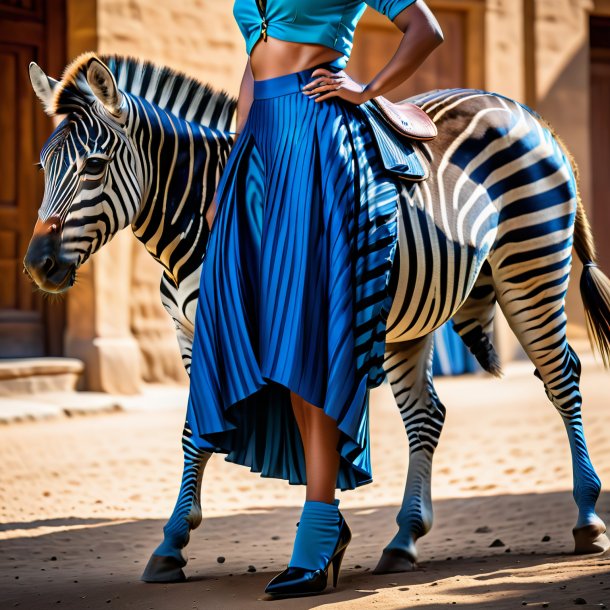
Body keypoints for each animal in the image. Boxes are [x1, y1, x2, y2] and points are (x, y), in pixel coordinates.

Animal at [25, 53, 608, 580]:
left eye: (94, 166)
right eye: (42, 166)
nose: (37, 265)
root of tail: (523, 112)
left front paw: (321, 539)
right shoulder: (189, 332)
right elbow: (196, 430)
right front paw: (172, 545)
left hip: (530, 267)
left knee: (563, 379)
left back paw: (586, 517)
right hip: (414, 312)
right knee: (428, 414)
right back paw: (403, 540)